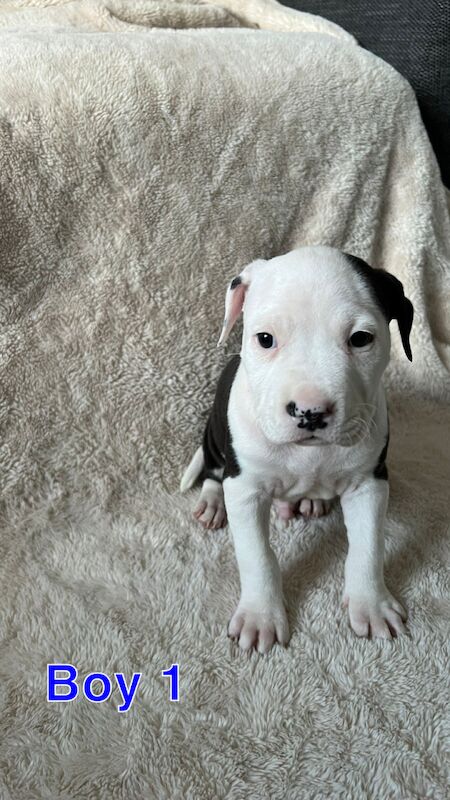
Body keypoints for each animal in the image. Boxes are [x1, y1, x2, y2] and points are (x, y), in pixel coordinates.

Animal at [181, 247, 414, 652]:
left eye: (361, 339)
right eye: (265, 338)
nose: (310, 411)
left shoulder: (369, 484)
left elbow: (368, 547)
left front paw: (371, 605)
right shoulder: (245, 489)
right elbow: (257, 556)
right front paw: (260, 616)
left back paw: (309, 502)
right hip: (213, 433)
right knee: (212, 469)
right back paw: (212, 502)